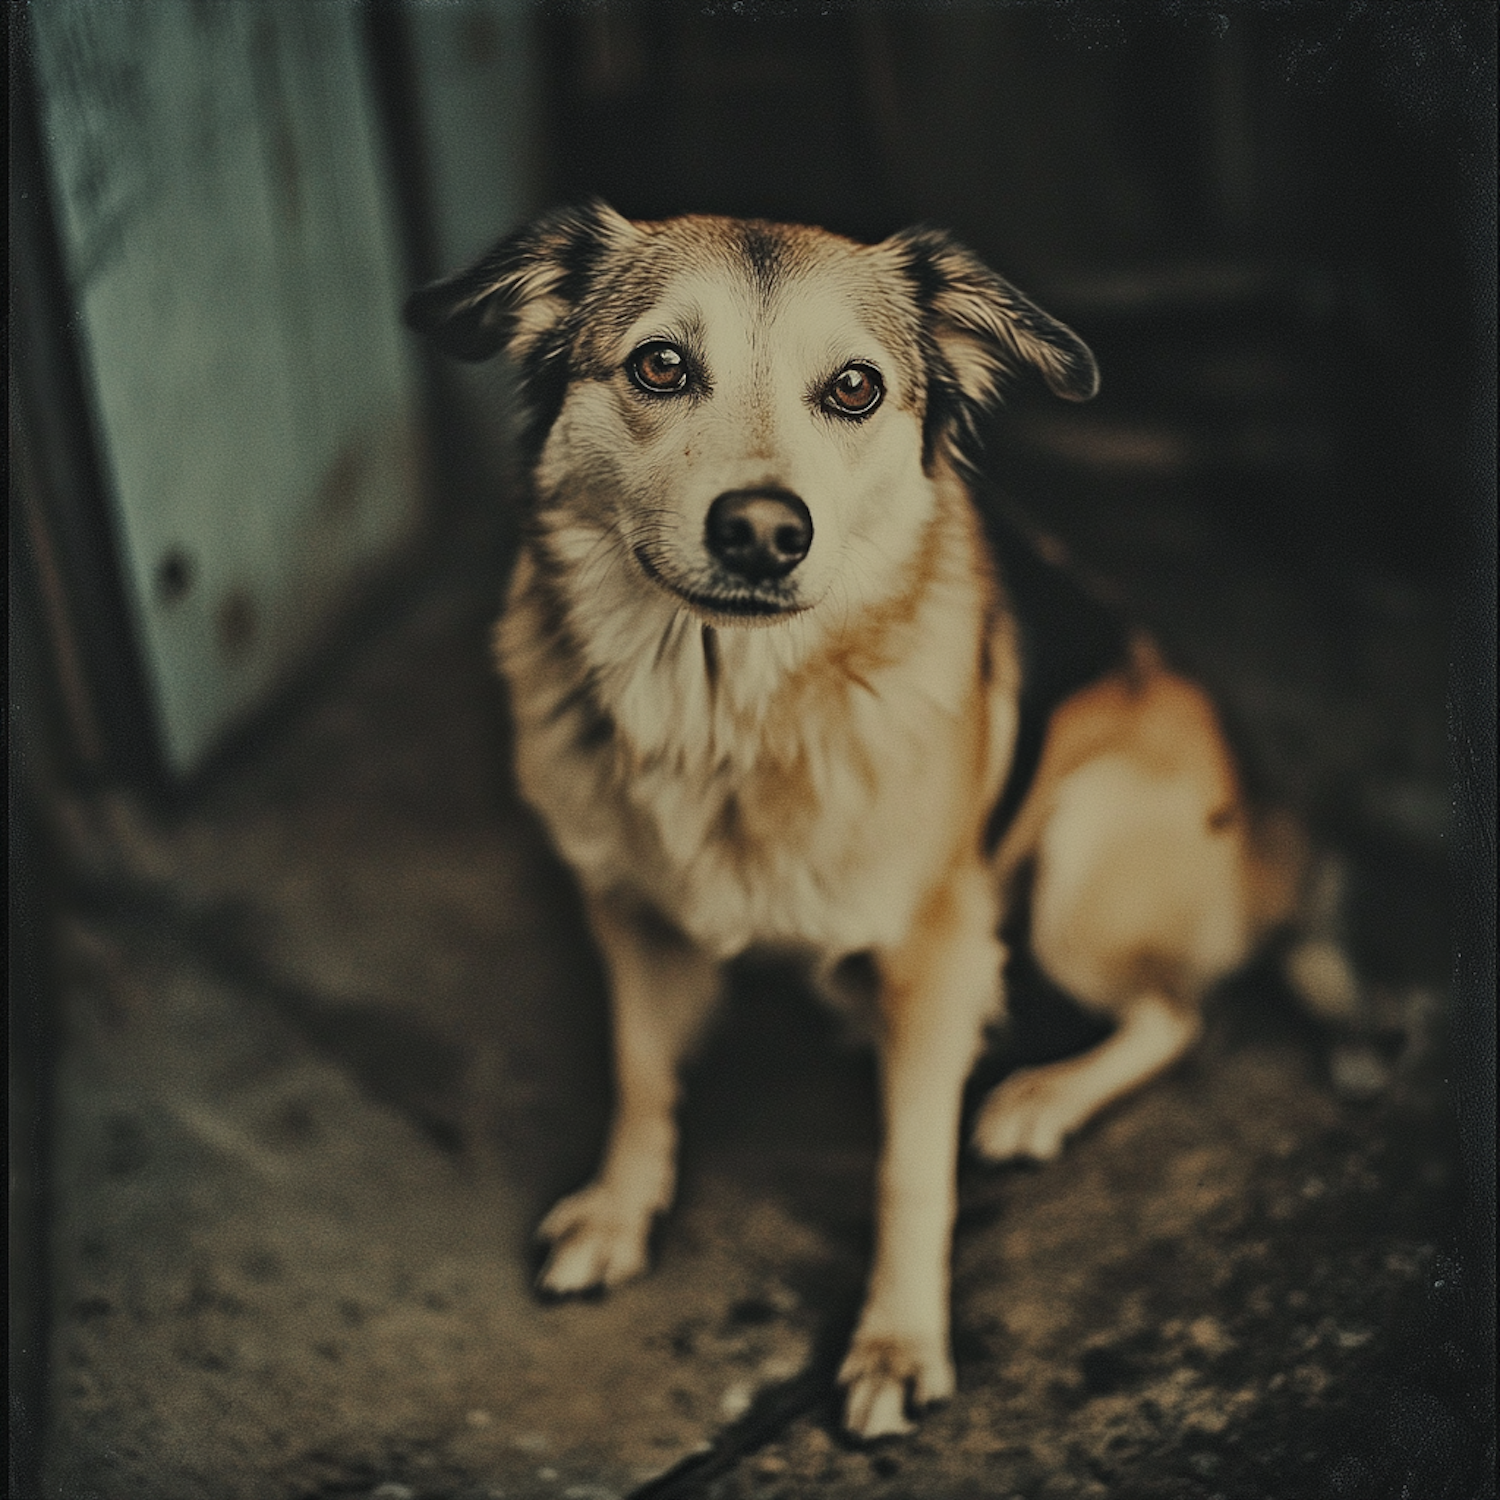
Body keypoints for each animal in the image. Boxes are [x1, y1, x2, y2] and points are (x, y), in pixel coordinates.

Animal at [405, 202, 1344, 1440]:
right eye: (660, 365)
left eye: (853, 388)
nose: (764, 531)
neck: (725, 715)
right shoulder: (628, 912)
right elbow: (641, 1074)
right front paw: (619, 1208)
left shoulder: (939, 948)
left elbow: (911, 1167)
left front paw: (897, 1340)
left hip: (1073, 866)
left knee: (1180, 1012)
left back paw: (1040, 1095)